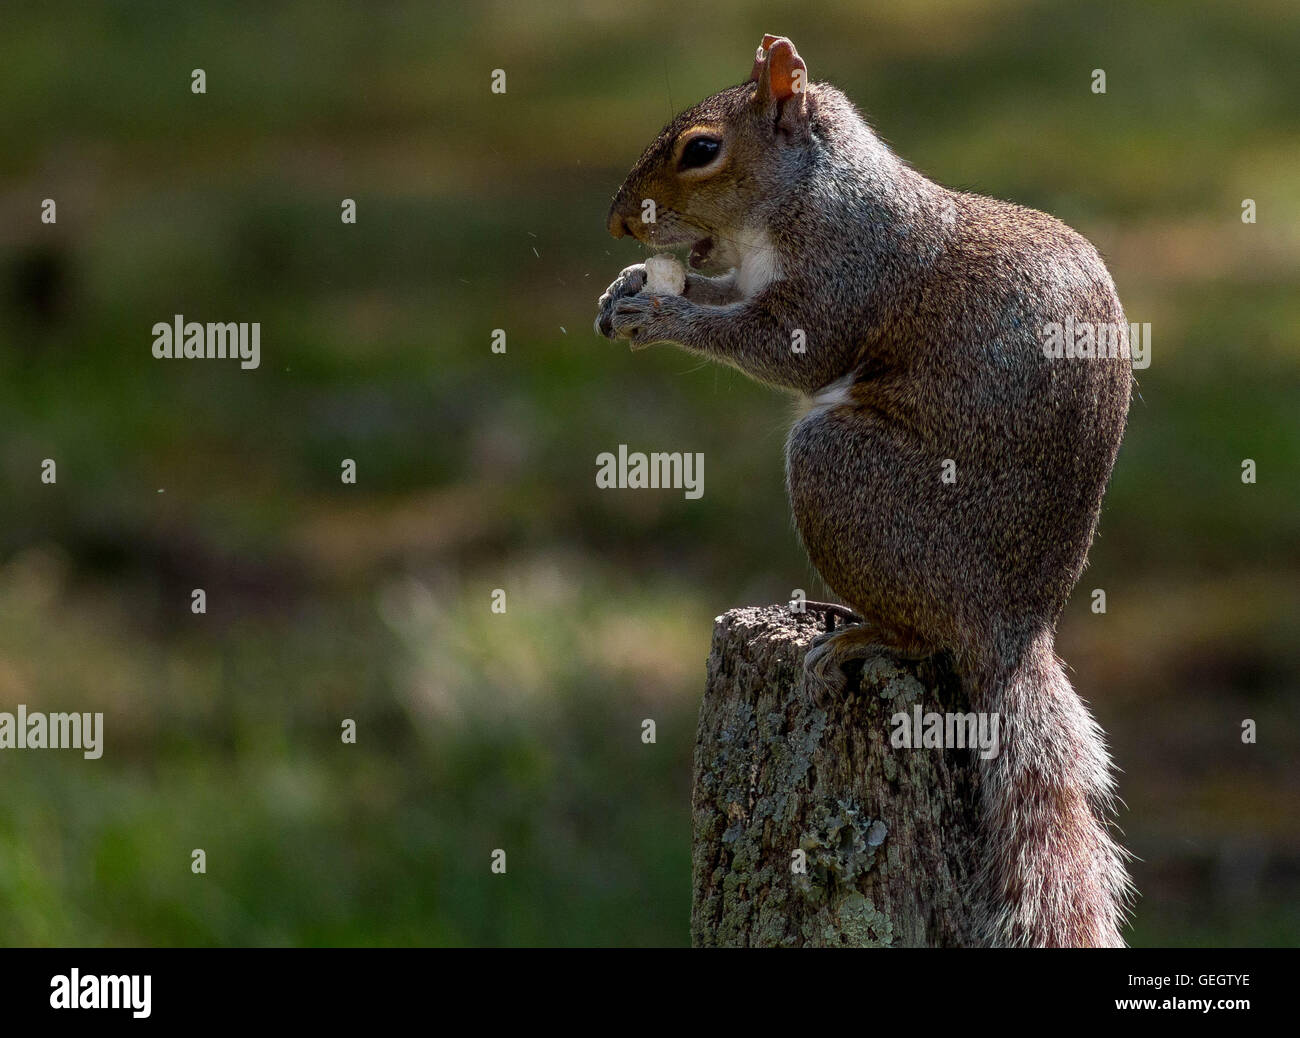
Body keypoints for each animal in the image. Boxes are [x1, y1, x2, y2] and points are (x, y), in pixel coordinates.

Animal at [595, 34, 1133, 952]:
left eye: (700, 150)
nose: (622, 222)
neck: (814, 192)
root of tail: (1014, 624)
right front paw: (633, 284)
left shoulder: (847, 275)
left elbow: (787, 349)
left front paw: (662, 317)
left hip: (842, 472)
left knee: (921, 636)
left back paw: (858, 636)